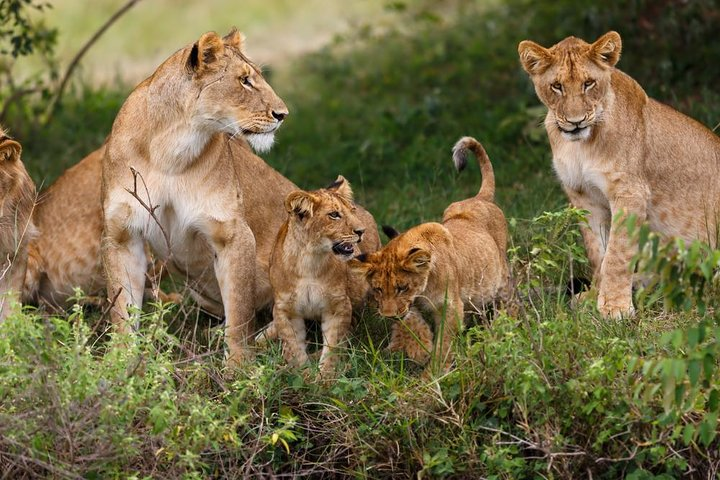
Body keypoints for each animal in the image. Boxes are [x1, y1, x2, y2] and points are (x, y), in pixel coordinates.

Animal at [350, 137, 510, 376]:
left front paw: (433, 373)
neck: (425, 288)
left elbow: (444, 343)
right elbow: (413, 323)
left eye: (402, 288)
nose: (387, 316)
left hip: (502, 279)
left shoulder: (451, 307)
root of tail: (479, 198)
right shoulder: (412, 305)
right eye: (378, 289)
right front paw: (421, 349)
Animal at [520, 31, 720, 318]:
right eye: (556, 86)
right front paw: (594, 296)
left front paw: (615, 308)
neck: (580, 146)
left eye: (589, 83)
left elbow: (617, 253)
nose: (575, 122)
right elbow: (597, 252)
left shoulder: (630, 192)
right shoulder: (584, 197)